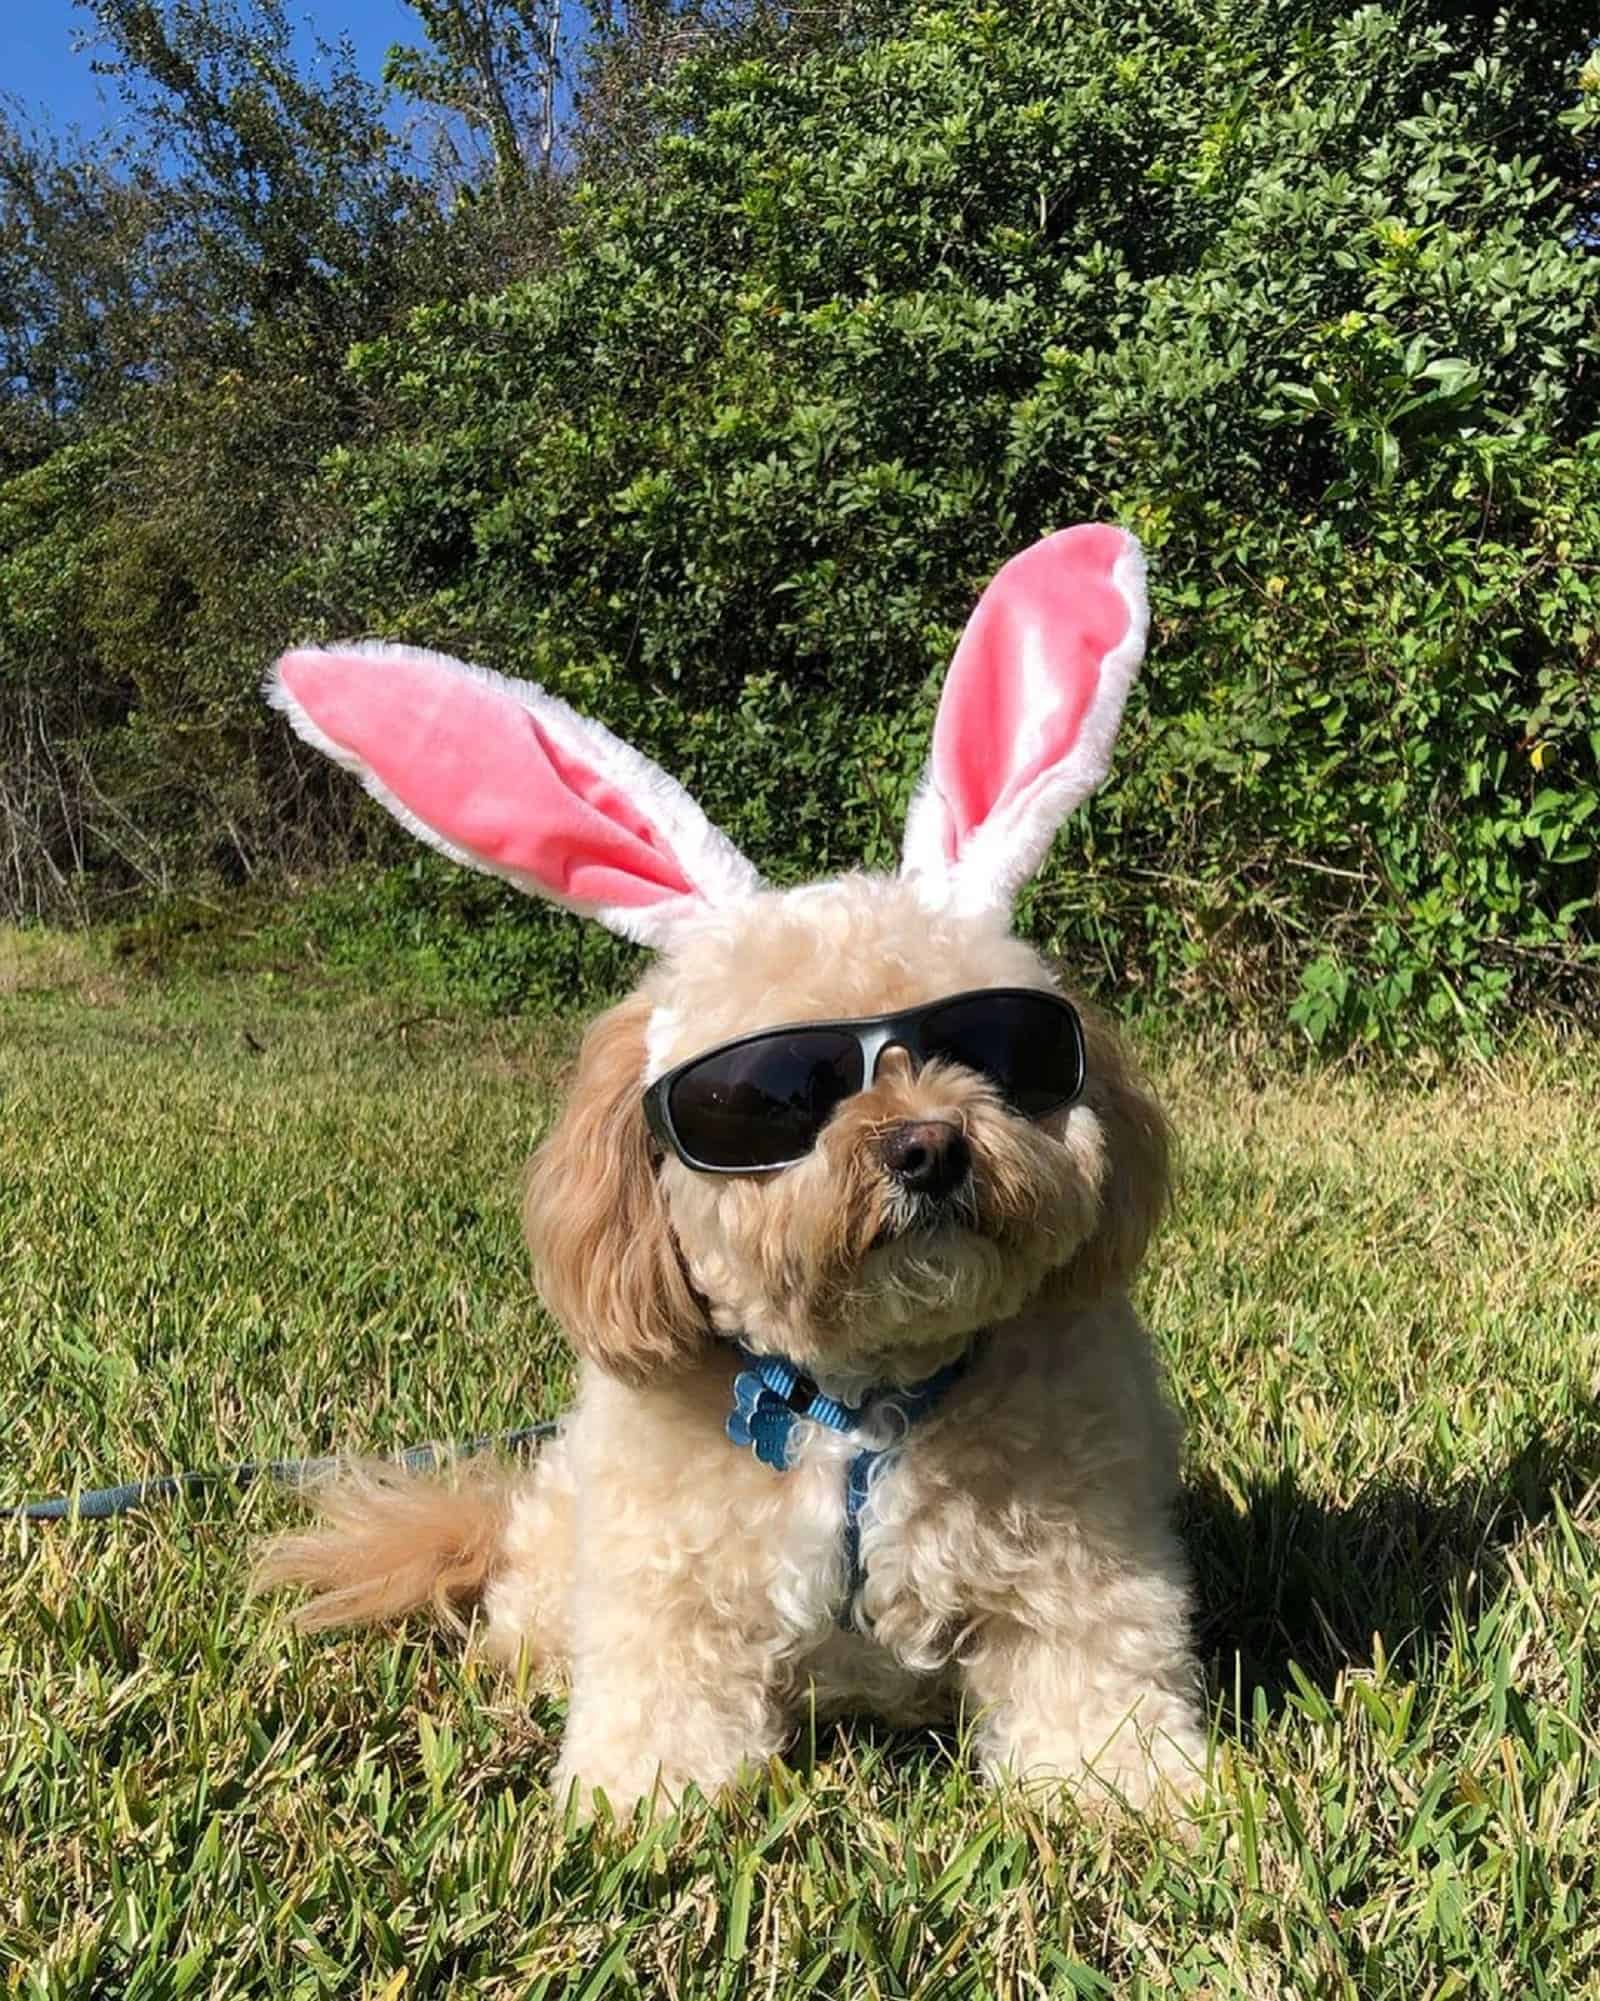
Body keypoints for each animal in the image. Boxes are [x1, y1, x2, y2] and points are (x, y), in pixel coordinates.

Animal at [256, 524, 1208, 1824]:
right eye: (770, 1094)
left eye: (996, 1049)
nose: (926, 1145)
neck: (861, 1411)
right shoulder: (669, 1581)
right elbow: (662, 1698)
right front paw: (635, 1808)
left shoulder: (1079, 1562)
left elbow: (1099, 1675)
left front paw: (1130, 1795)